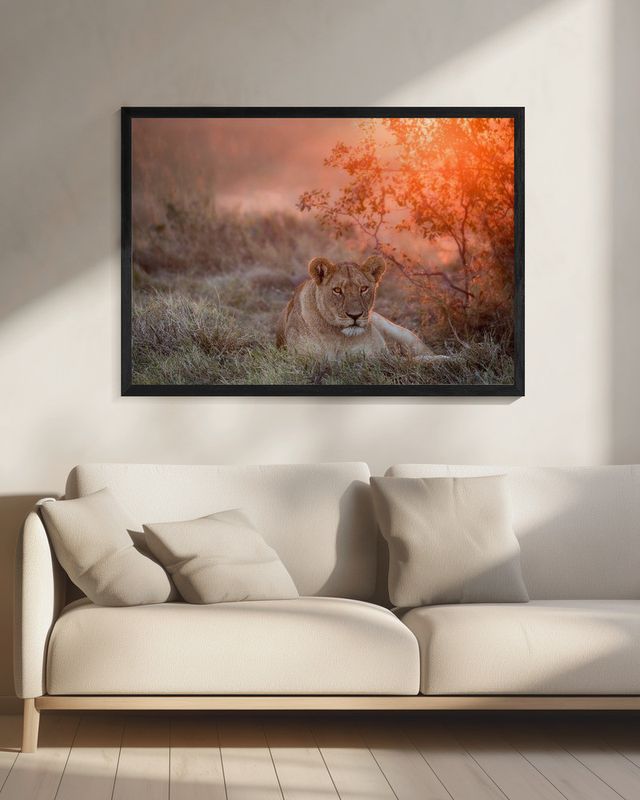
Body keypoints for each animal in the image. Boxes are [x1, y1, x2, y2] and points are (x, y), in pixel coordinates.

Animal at [276, 255, 435, 360]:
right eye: (337, 290)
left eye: (363, 289)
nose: (355, 315)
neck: (340, 338)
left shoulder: (378, 355)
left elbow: (412, 361)